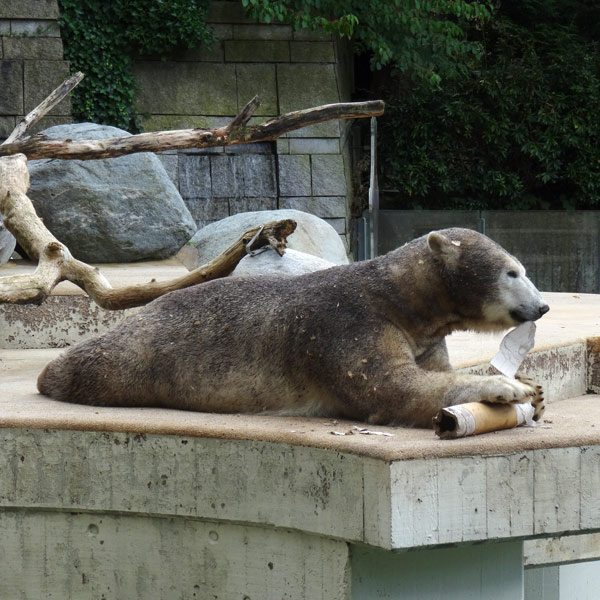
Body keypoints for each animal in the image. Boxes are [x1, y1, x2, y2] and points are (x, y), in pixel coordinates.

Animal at [38, 227, 548, 428]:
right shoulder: (347, 324)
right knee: (96, 363)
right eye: (512, 273)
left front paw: (533, 387)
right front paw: (509, 389)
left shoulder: (423, 334)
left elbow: (431, 371)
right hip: (138, 353)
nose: (542, 306)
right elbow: (389, 387)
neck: (397, 297)